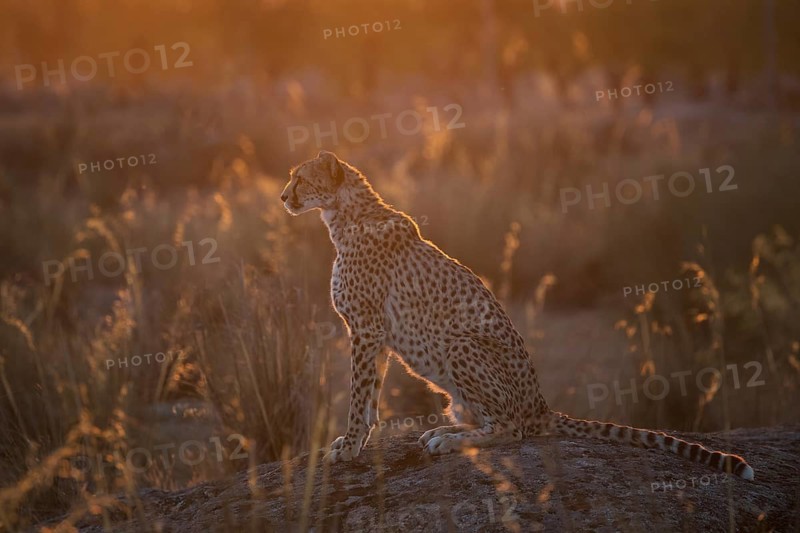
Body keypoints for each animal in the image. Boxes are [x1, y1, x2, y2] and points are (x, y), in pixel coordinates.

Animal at [280, 151, 754, 480]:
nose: (284, 197)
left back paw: (451, 441)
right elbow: (370, 398)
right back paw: (445, 433)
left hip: (461, 344)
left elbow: (358, 394)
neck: (345, 215)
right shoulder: (373, 334)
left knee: (513, 430)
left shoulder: (365, 328)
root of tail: (541, 404)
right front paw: (357, 442)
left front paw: (347, 447)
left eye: (300, 178)